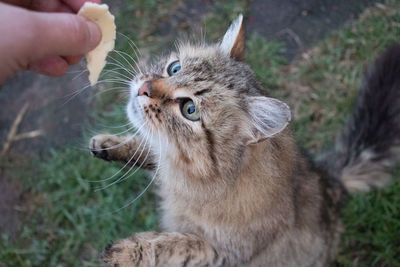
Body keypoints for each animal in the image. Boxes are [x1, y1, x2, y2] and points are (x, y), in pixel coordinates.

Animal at [89, 15, 400, 267]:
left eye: (190, 109)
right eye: (174, 68)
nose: (142, 88)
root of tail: (332, 179)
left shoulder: (223, 253)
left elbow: (177, 244)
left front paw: (129, 251)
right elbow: (148, 150)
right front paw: (108, 145)